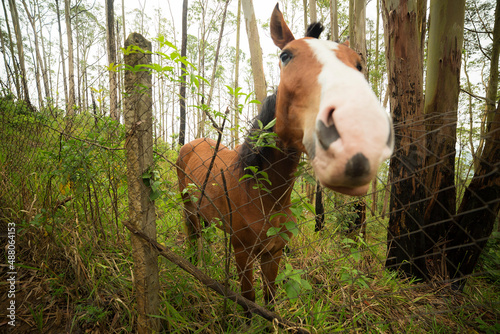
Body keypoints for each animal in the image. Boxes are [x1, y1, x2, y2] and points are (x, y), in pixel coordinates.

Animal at [177, 3, 394, 314]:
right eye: (285, 55)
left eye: (358, 64)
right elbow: (248, 300)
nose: (358, 132)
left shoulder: (274, 252)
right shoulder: (243, 252)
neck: (260, 193)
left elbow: (270, 299)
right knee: (193, 238)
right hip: (188, 210)